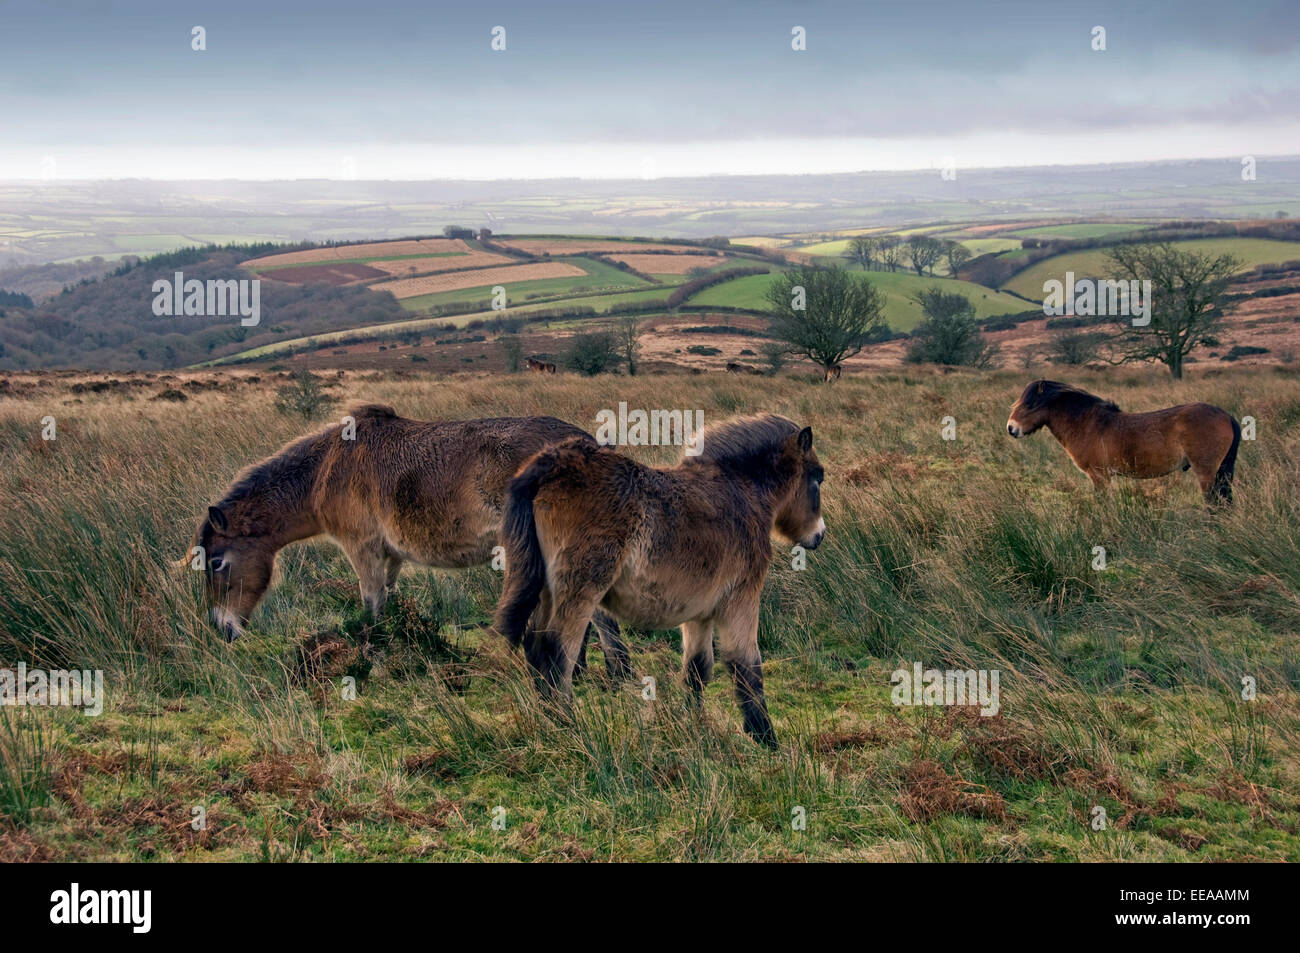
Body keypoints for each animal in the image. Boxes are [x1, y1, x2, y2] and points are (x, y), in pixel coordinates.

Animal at [185, 408, 626, 676]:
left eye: (217, 563)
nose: (221, 628)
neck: (326, 469)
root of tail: (584, 445)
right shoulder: (391, 556)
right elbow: (390, 602)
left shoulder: (362, 549)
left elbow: (372, 605)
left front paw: (371, 659)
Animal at [491, 413, 826, 748]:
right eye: (817, 479)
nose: (819, 536)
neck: (740, 493)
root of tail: (554, 463)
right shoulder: (740, 600)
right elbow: (747, 666)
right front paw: (765, 737)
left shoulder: (699, 613)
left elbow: (697, 669)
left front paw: (694, 726)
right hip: (579, 593)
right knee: (556, 652)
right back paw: (568, 727)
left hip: (549, 592)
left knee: (535, 647)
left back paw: (549, 721)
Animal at [1003, 379, 1237, 501]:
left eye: (1030, 405)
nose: (1011, 428)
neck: (1087, 424)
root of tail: (1225, 415)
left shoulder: (1100, 476)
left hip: (1206, 472)